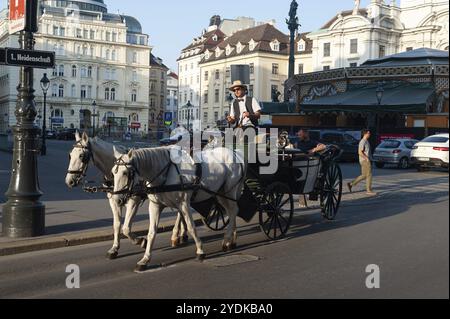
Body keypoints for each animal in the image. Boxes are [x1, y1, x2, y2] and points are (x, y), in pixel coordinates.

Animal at [64, 132, 189, 260]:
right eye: (70, 155)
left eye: (81, 156)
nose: (69, 181)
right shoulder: (114, 201)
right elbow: (117, 224)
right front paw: (114, 248)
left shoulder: (134, 201)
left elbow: (126, 228)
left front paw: (141, 241)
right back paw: (182, 234)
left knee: (180, 212)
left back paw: (176, 235)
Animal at [112, 146, 246, 272]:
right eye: (113, 172)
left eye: (125, 172)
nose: (117, 200)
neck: (165, 174)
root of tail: (235, 153)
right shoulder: (155, 206)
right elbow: (151, 233)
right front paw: (145, 258)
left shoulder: (184, 204)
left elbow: (191, 227)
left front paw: (200, 251)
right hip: (220, 194)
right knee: (231, 211)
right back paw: (231, 240)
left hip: (229, 191)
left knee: (233, 210)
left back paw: (227, 240)